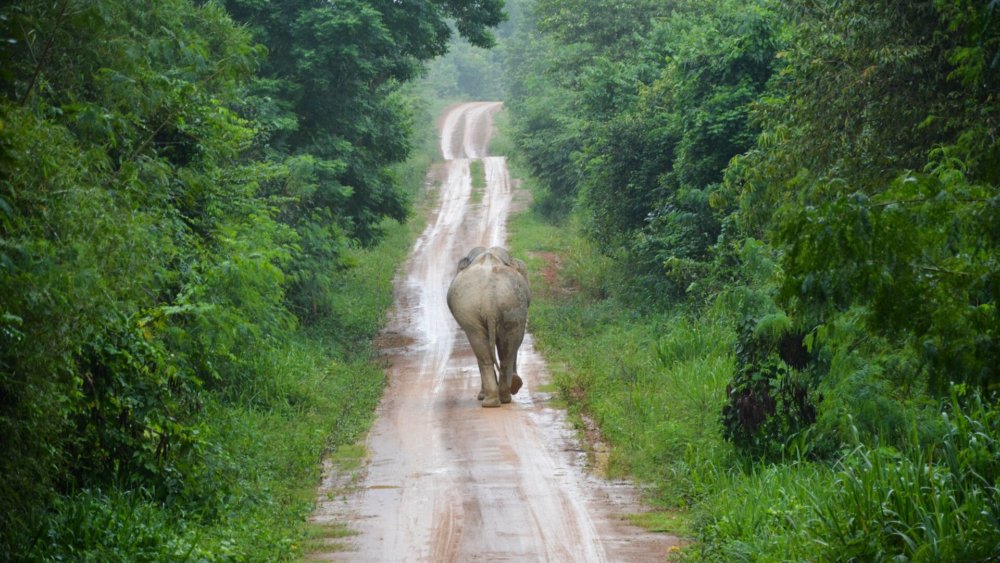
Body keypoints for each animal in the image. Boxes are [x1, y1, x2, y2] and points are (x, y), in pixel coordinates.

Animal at [447, 246, 531, 407]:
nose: (516, 384)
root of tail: (489, 301)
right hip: (510, 305)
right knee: (501, 350)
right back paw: (499, 399)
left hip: (502, 305)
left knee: (485, 348)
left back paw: (495, 399)